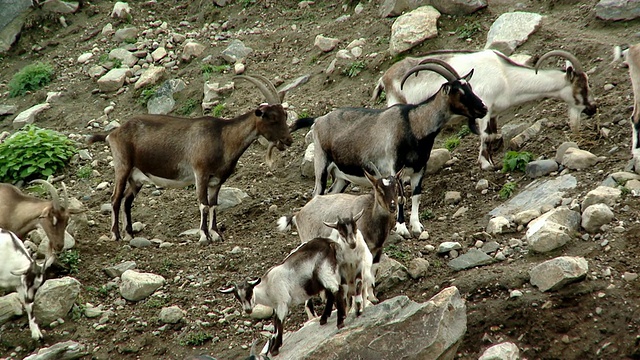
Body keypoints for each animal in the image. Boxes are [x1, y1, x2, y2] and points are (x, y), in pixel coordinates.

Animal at [87, 76, 292, 245]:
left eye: (285, 115)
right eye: (272, 118)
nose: (288, 140)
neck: (222, 137)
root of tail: (113, 133)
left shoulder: (217, 180)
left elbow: (214, 205)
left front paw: (216, 234)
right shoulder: (200, 173)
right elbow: (203, 204)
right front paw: (204, 236)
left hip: (136, 177)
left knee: (127, 201)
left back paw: (129, 235)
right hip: (122, 166)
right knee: (115, 199)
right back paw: (116, 235)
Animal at [276, 169, 398, 306]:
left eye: (396, 188)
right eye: (379, 189)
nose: (393, 207)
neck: (370, 216)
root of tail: (297, 214)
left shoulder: (378, 248)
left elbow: (372, 271)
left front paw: (372, 297)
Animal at [290, 63, 484, 238]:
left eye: (469, 87)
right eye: (458, 92)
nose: (483, 108)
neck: (413, 124)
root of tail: (318, 120)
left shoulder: (420, 168)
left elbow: (416, 195)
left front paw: (417, 226)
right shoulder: (395, 167)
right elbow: (400, 197)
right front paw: (402, 228)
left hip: (341, 176)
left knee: (331, 195)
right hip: (321, 164)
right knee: (316, 194)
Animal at [372, 48, 596, 171]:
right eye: (582, 87)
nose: (593, 109)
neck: (506, 76)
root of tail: (384, 79)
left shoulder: (493, 111)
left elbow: (494, 135)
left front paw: (491, 159)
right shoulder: (484, 107)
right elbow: (486, 135)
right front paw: (486, 164)